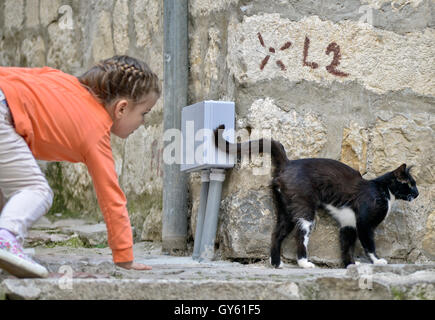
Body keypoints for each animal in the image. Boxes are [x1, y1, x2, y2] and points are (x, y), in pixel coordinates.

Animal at [215, 124, 418, 268]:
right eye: (410, 184)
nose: (417, 193)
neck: (384, 192)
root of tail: (288, 163)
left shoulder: (349, 224)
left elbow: (347, 246)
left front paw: (351, 265)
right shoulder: (364, 223)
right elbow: (369, 245)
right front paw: (377, 261)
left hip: (286, 209)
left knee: (276, 233)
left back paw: (277, 263)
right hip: (304, 209)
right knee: (300, 235)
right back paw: (304, 263)